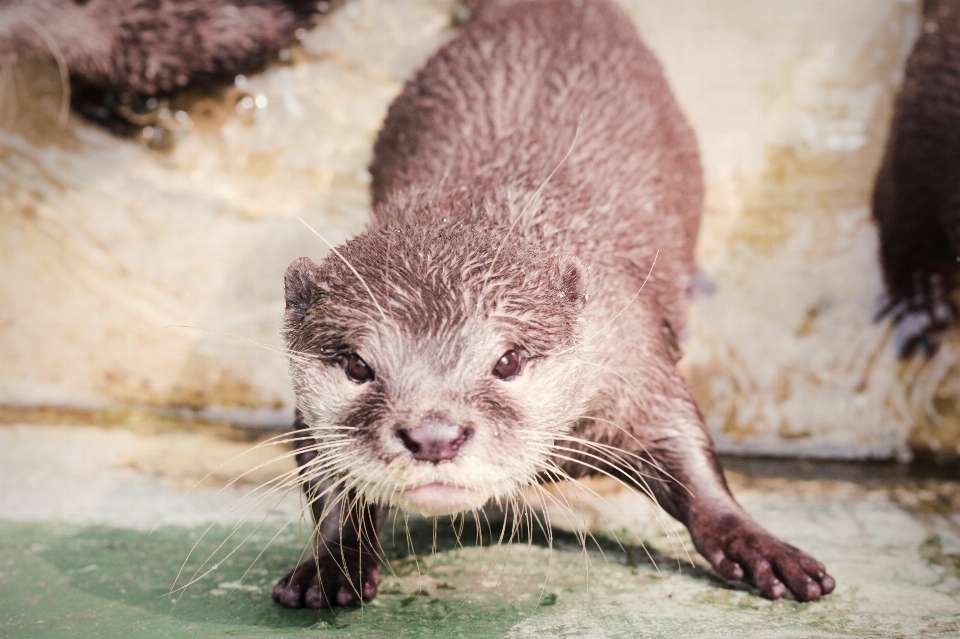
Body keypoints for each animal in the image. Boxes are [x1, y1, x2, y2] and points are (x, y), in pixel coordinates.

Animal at [270, 0, 832, 608]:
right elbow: (327, 478)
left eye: (508, 360)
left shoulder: (633, 360)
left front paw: (762, 548)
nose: (434, 435)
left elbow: (692, 456)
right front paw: (332, 564)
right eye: (357, 365)